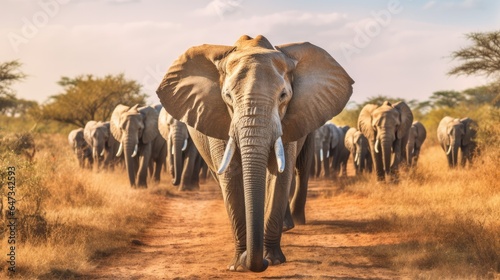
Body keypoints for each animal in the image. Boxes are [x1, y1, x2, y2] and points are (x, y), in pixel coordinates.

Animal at [154, 34, 354, 272]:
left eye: (283, 95)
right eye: (228, 96)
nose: (260, 263)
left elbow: (279, 175)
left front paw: (273, 259)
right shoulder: (218, 117)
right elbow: (231, 176)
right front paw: (239, 265)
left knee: (302, 167)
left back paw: (293, 223)